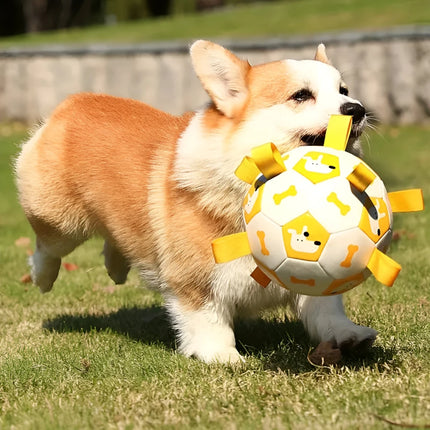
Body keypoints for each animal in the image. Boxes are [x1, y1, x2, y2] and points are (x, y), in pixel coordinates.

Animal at [15, 40, 374, 362]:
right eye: (300, 96)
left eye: (344, 90)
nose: (357, 109)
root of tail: (74, 101)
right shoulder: (193, 280)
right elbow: (207, 319)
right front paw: (222, 356)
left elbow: (325, 309)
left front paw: (348, 334)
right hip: (60, 220)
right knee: (47, 246)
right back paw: (42, 277)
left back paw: (115, 268)